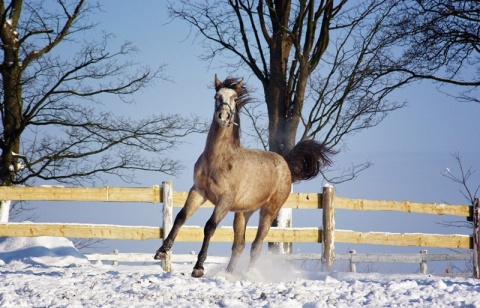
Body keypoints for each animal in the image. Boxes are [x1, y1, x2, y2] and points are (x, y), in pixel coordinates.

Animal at [154, 76, 334, 278]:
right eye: (216, 96)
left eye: (234, 98)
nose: (223, 116)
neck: (218, 159)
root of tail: (285, 164)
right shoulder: (199, 191)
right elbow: (181, 216)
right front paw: (162, 251)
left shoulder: (224, 200)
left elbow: (210, 226)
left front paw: (198, 268)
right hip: (243, 212)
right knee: (239, 244)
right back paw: (229, 273)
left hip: (269, 210)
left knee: (256, 245)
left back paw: (249, 273)